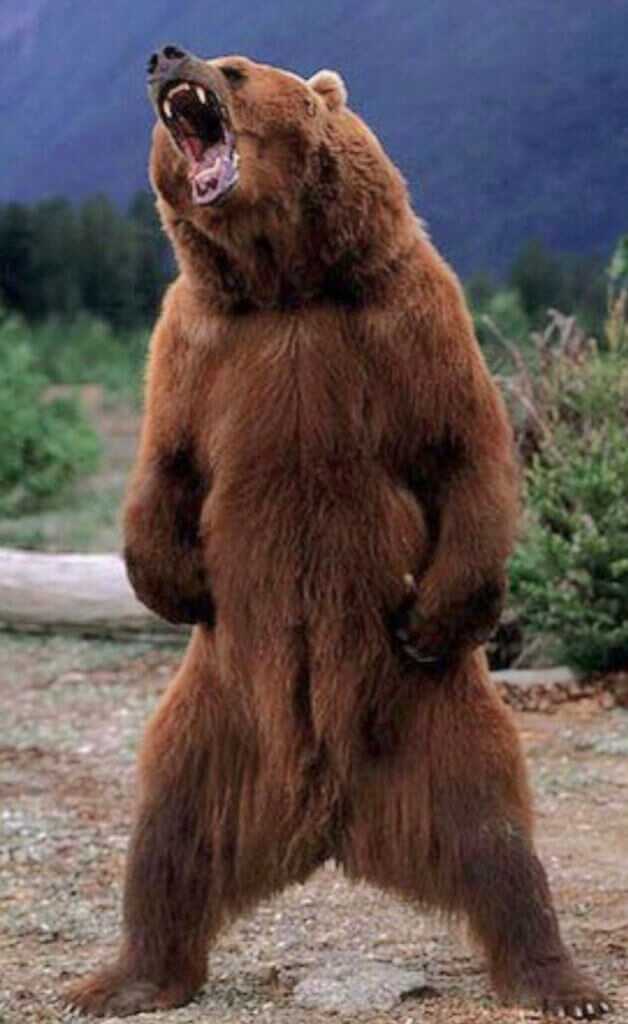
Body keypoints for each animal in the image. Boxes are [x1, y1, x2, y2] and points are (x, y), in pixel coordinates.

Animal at [66, 47, 610, 1019]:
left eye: (235, 67)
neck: (289, 284)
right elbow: (166, 462)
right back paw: (123, 977)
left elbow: (464, 448)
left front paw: (436, 615)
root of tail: (326, 818)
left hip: (439, 720)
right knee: (168, 830)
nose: (165, 55)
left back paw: (556, 978)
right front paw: (177, 583)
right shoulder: (198, 340)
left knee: (499, 836)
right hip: (213, 720)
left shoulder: (409, 317)